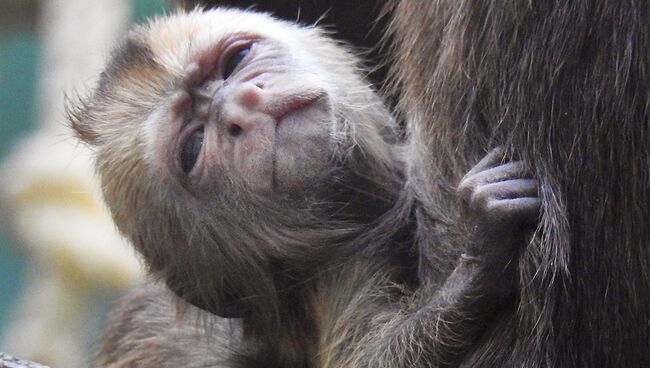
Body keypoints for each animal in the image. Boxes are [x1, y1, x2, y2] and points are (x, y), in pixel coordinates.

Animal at [68, 7, 540, 368]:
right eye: (193, 147)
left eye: (236, 60)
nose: (242, 106)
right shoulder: (339, 274)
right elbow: (372, 358)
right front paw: (480, 251)